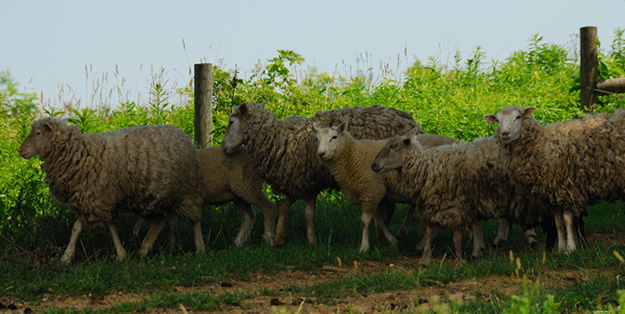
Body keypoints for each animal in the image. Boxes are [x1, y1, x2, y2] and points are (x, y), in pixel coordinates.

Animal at [18, 118, 205, 262]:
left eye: (38, 133)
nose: (20, 150)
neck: (80, 155)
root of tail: (183, 134)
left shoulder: (99, 200)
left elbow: (108, 227)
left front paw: (121, 254)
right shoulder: (92, 201)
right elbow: (78, 228)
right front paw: (66, 257)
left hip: (187, 192)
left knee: (194, 220)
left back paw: (199, 248)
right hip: (150, 198)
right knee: (163, 220)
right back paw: (156, 248)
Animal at [314, 121, 456, 254]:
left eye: (334, 137)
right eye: (317, 138)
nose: (321, 153)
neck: (353, 155)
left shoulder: (372, 190)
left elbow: (365, 221)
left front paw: (364, 247)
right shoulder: (374, 195)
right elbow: (380, 221)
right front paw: (393, 242)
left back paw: (422, 244)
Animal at [368, 127, 548, 264]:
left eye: (393, 145)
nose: (373, 165)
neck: (427, 166)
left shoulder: (453, 205)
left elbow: (450, 234)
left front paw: (457, 258)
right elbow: (434, 231)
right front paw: (426, 258)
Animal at [482, 106, 616, 254]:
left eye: (518, 117)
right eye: (497, 120)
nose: (505, 134)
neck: (541, 144)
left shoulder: (567, 190)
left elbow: (567, 220)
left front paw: (570, 248)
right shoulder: (554, 193)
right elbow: (558, 222)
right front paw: (560, 248)